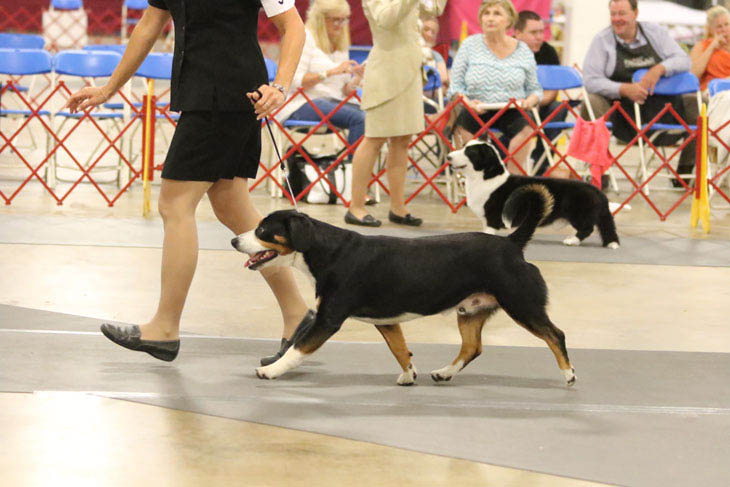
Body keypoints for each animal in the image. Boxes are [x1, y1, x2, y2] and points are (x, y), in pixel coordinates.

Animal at [231, 193, 576, 387]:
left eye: (262, 230)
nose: (234, 240)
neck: (329, 252)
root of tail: (512, 244)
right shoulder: (387, 320)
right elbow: (400, 349)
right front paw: (410, 375)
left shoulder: (328, 319)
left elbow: (298, 349)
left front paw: (271, 371)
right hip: (470, 310)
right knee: (472, 347)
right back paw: (444, 373)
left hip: (521, 303)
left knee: (555, 335)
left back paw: (568, 373)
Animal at [448, 140, 620, 249]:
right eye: (462, 146)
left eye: (469, 152)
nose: (448, 156)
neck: (485, 178)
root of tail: (598, 191)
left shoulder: (492, 217)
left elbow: (489, 231)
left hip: (579, 215)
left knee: (587, 229)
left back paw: (572, 240)